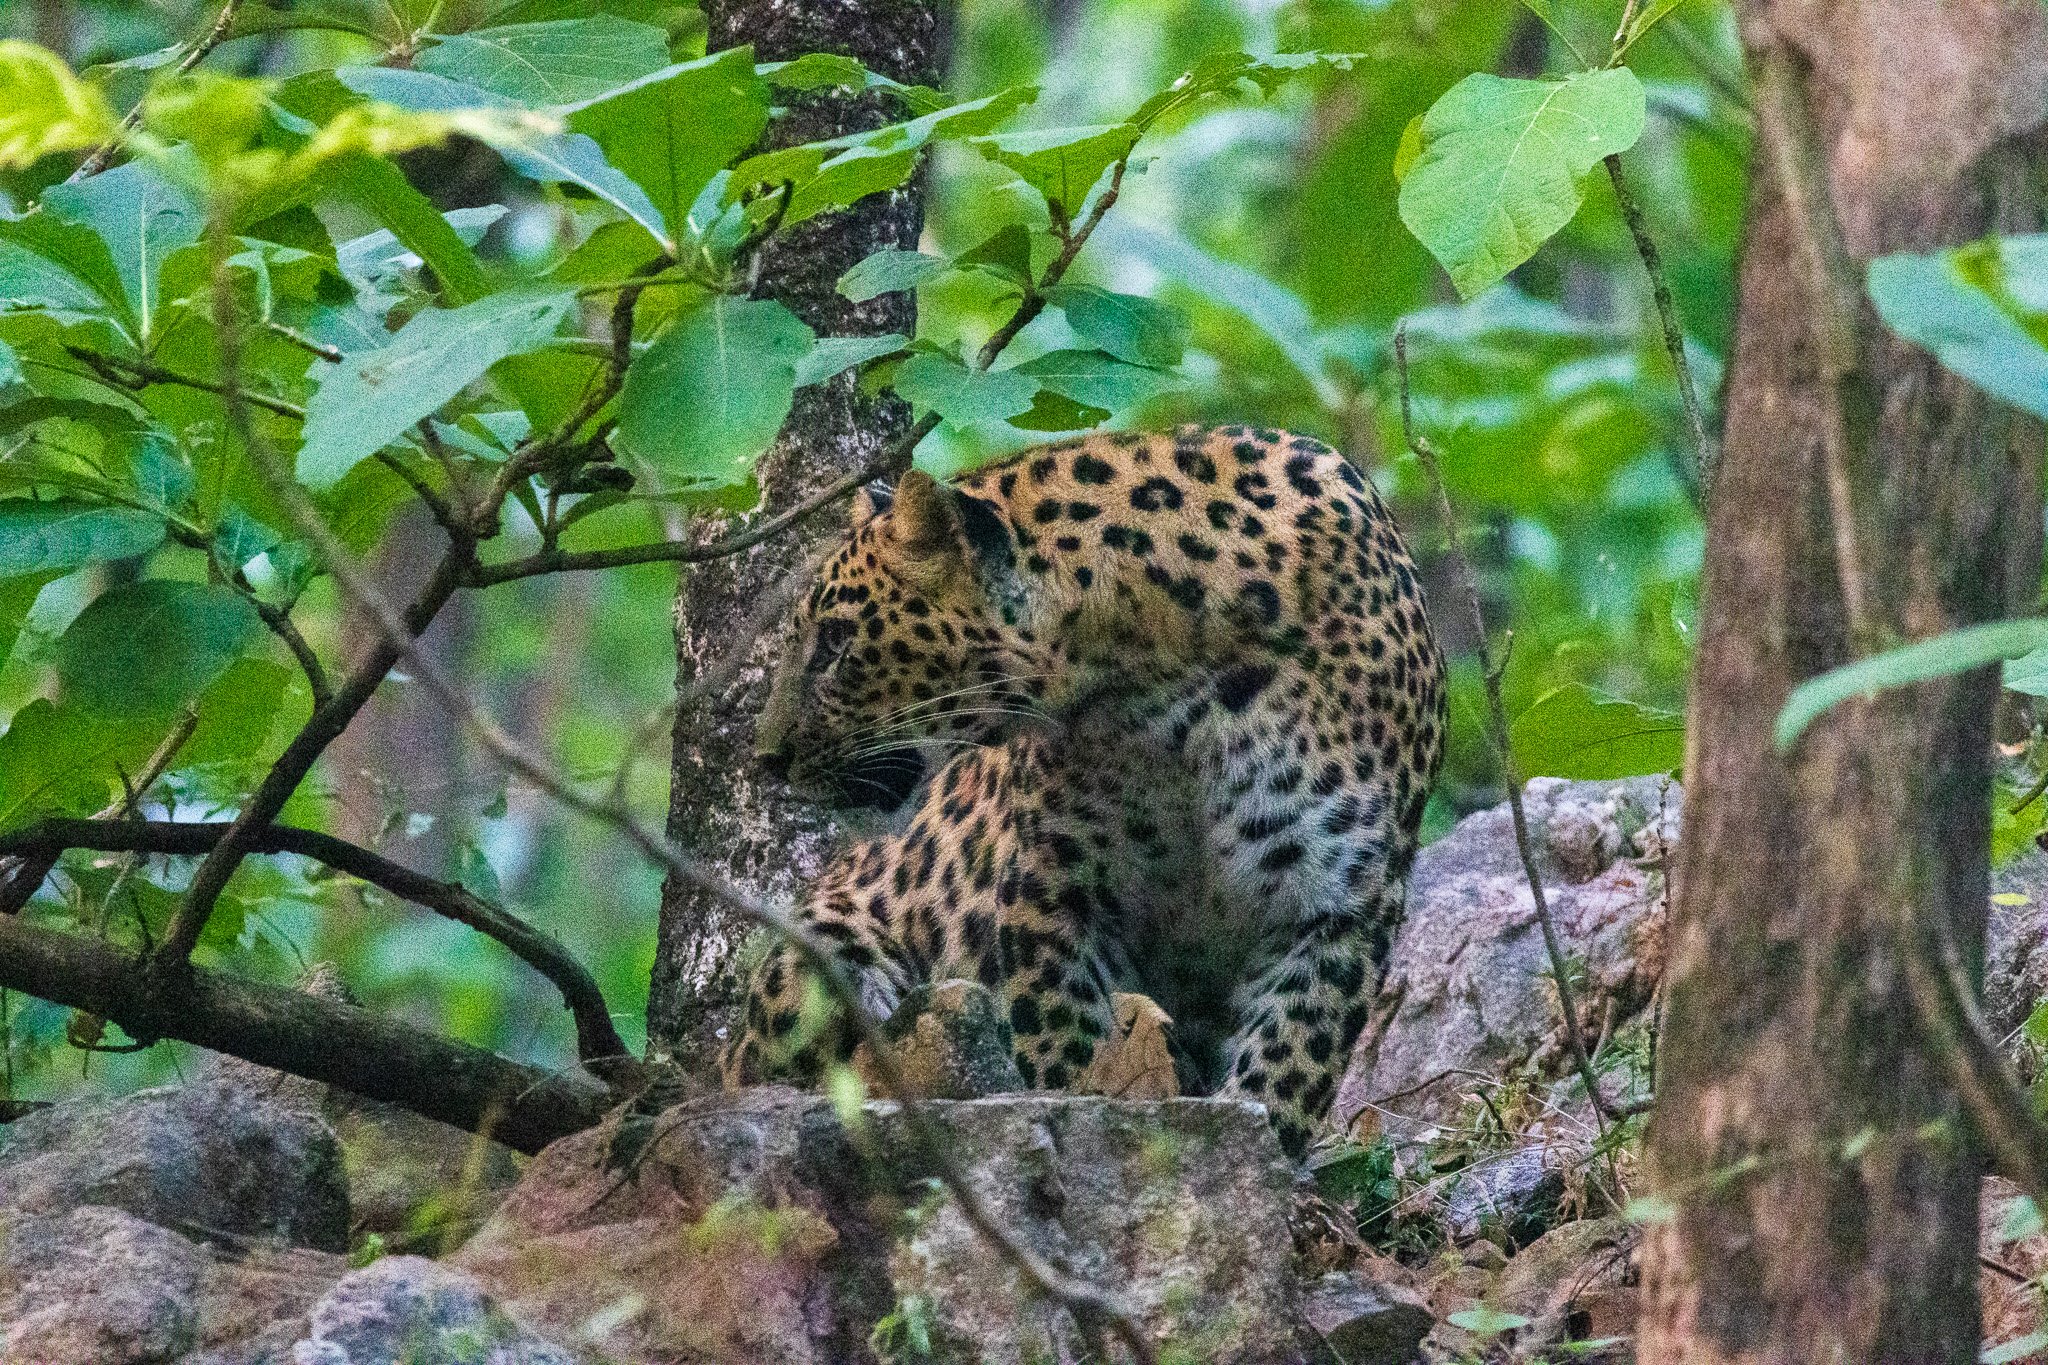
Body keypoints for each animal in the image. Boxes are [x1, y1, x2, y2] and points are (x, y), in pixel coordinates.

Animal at [729, 421, 1449, 1162]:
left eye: (835, 640)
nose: (767, 757)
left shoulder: (1340, 905)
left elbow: (1288, 1061)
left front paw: (1261, 1154)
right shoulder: (1055, 891)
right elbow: (1064, 1042)